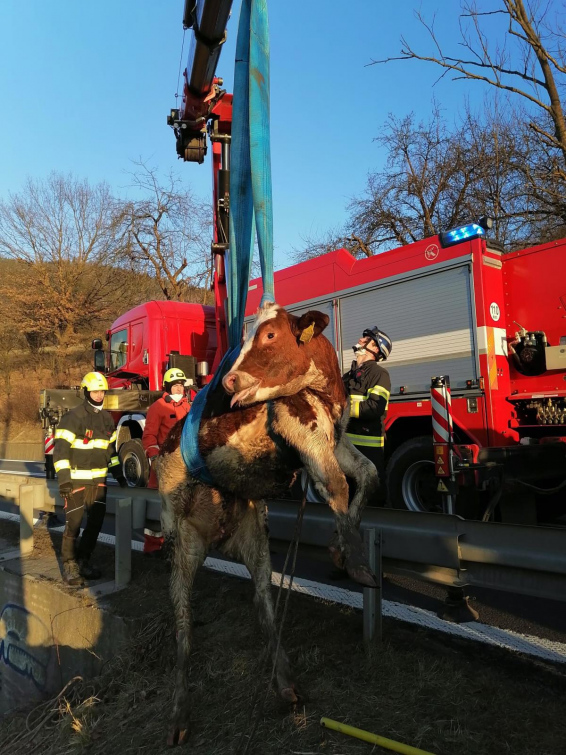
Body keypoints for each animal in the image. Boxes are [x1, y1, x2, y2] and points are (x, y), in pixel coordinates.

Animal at [155, 304, 380, 748]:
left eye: (271, 335)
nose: (228, 380)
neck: (326, 389)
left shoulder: (333, 440)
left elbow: (366, 474)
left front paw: (340, 550)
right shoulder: (302, 429)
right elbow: (337, 485)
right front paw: (359, 563)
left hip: (255, 538)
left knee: (264, 605)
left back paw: (286, 684)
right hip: (181, 543)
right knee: (184, 626)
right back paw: (178, 715)